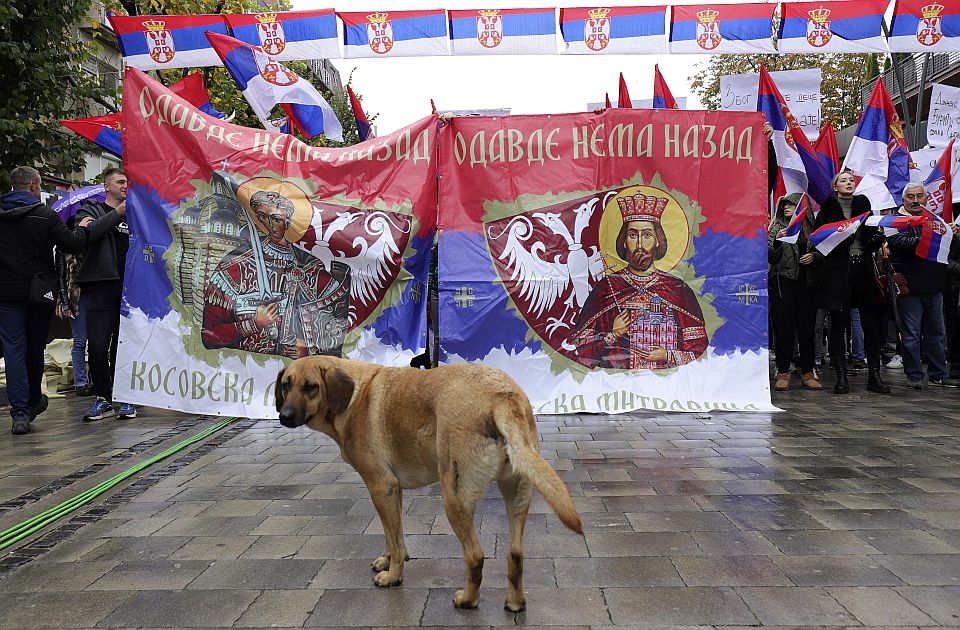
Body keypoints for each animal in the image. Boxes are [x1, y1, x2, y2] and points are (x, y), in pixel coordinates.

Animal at [274, 358, 580, 616]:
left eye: (310, 387)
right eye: (286, 384)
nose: (284, 416)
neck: (354, 397)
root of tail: (502, 396)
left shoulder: (380, 486)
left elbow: (395, 540)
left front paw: (393, 576)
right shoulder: (392, 490)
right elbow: (393, 535)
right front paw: (388, 561)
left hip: (454, 498)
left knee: (475, 557)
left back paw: (468, 599)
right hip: (517, 494)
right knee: (515, 554)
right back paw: (515, 602)